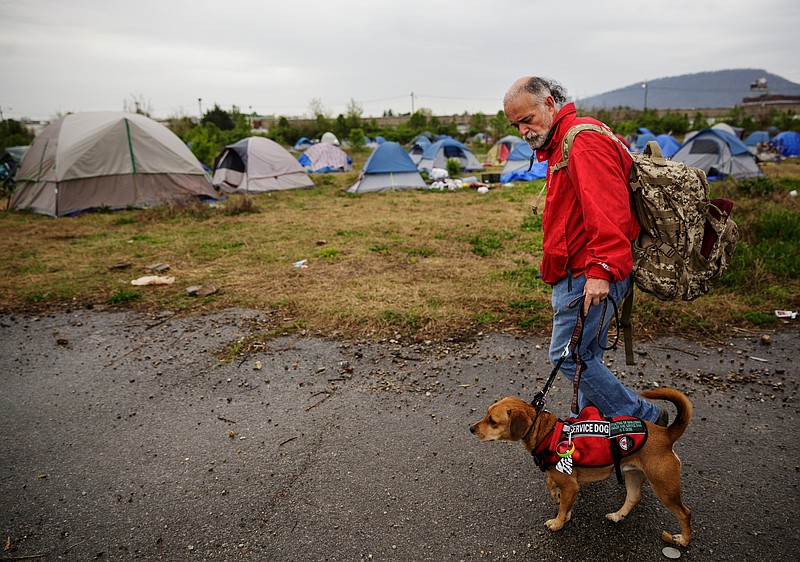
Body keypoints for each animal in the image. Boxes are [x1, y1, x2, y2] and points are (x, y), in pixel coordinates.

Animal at [472, 388, 692, 544]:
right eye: (486, 415)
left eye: (492, 421)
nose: (471, 428)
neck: (546, 432)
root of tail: (666, 434)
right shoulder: (564, 481)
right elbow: (554, 489)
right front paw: (557, 500)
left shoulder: (571, 486)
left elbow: (561, 508)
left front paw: (557, 523)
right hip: (633, 474)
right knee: (633, 497)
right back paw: (617, 516)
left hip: (664, 488)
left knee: (684, 513)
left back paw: (684, 540)